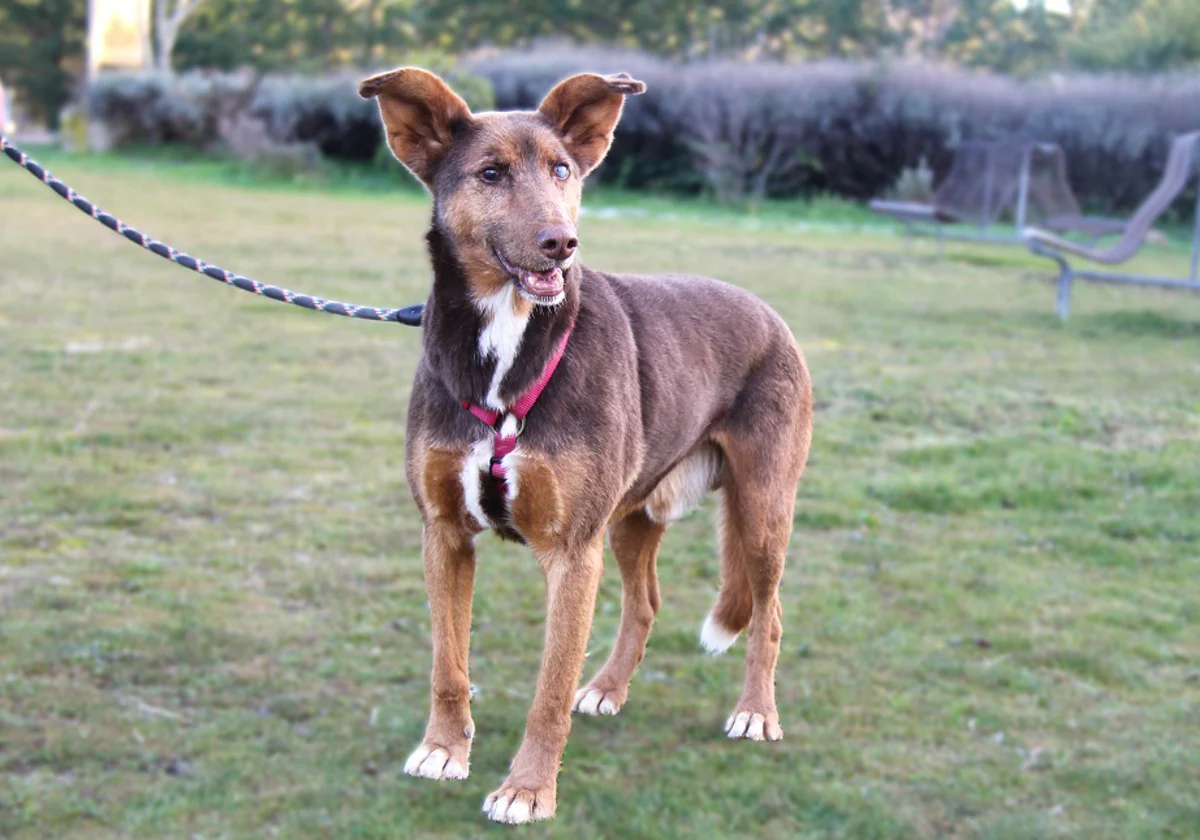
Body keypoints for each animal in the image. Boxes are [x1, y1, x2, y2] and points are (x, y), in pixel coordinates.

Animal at [357, 67, 816, 825]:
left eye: (562, 170)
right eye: (490, 173)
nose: (561, 243)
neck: (509, 340)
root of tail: (770, 312)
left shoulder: (572, 551)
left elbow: (547, 690)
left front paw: (527, 790)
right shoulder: (443, 533)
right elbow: (448, 664)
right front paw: (445, 750)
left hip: (761, 510)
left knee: (770, 614)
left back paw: (756, 713)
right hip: (630, 517)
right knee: (646, 602)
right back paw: (608, 688)